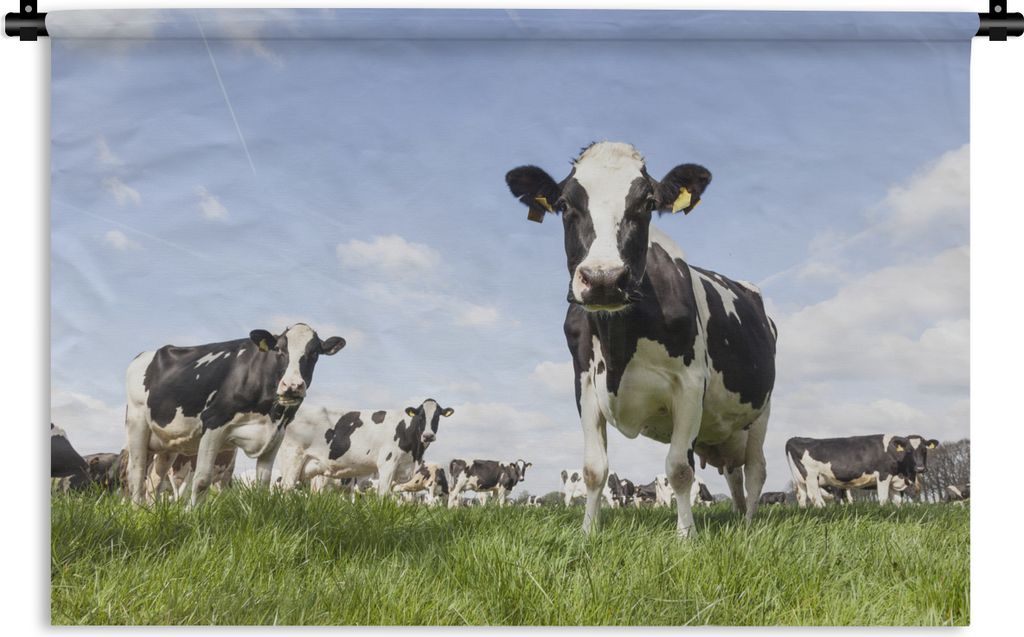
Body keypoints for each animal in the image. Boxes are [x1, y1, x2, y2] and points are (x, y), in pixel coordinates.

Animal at [124, 323, 346, 507]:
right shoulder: (213, 423)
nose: (292, 386)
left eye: (314, 353)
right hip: (137, 424)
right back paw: (137, 511)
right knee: (136, 475)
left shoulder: (276, 434)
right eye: (279, 349)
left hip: (168, 441)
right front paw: (190, 515)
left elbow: (263, 483)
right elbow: (202, 480)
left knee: (155, 480)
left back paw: (150, 511)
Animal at [276, 399, 453, 496]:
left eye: (437, 416)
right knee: (286, 488)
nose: (428, 435)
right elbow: (383, 495)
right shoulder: (387, 464)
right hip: (293, 458)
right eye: (421, 416)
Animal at [505, 142, 777, 537]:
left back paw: (750, 524)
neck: (620, 342)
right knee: (734, 474)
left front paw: (686, 535)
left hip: (761, 411)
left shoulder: (691, 384)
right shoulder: (585, 383)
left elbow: (679, 469)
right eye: (565, 205)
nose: (603, 279)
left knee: (755, 470)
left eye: (647, 203)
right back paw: (740, 516)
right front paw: (587, 533)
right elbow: (594, 469)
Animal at [786, 434, 938, 507]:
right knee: (815, 497)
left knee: (801, 498)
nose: (920, 468)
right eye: (908, 450)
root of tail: (794, 439)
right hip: (811, 477)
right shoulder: (883, 475)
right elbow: (883, 499)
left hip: (800, 480)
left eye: (924, 450)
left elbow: (897, 502)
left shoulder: (894, 482)